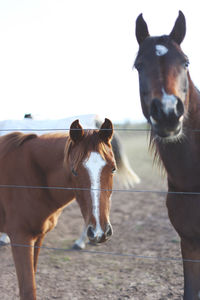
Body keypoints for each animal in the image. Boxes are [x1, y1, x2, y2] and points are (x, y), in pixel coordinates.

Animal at [0, 118, 115, 300]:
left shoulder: (37, 238)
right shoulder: (20, 238)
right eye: (74, 171)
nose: (99, 232)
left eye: (113, 168)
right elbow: (28, 290)